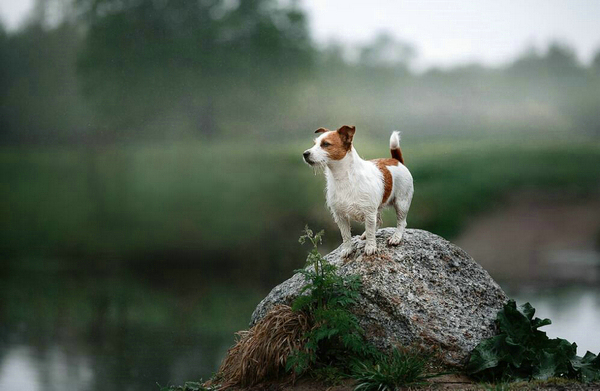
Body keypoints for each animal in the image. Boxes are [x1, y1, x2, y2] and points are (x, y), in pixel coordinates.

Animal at [304, 125, 412, 258]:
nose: (305, 154)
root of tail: (396, 160)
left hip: (402, 203)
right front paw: (347, 249)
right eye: (314, 144)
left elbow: (371, 232)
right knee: (378, 221)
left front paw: (370, 247)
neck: (343, 178)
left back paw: (396, 237)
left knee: (401, 222)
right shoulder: (340, 216)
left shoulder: (369, 213)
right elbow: (345, 235)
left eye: (325, 144)